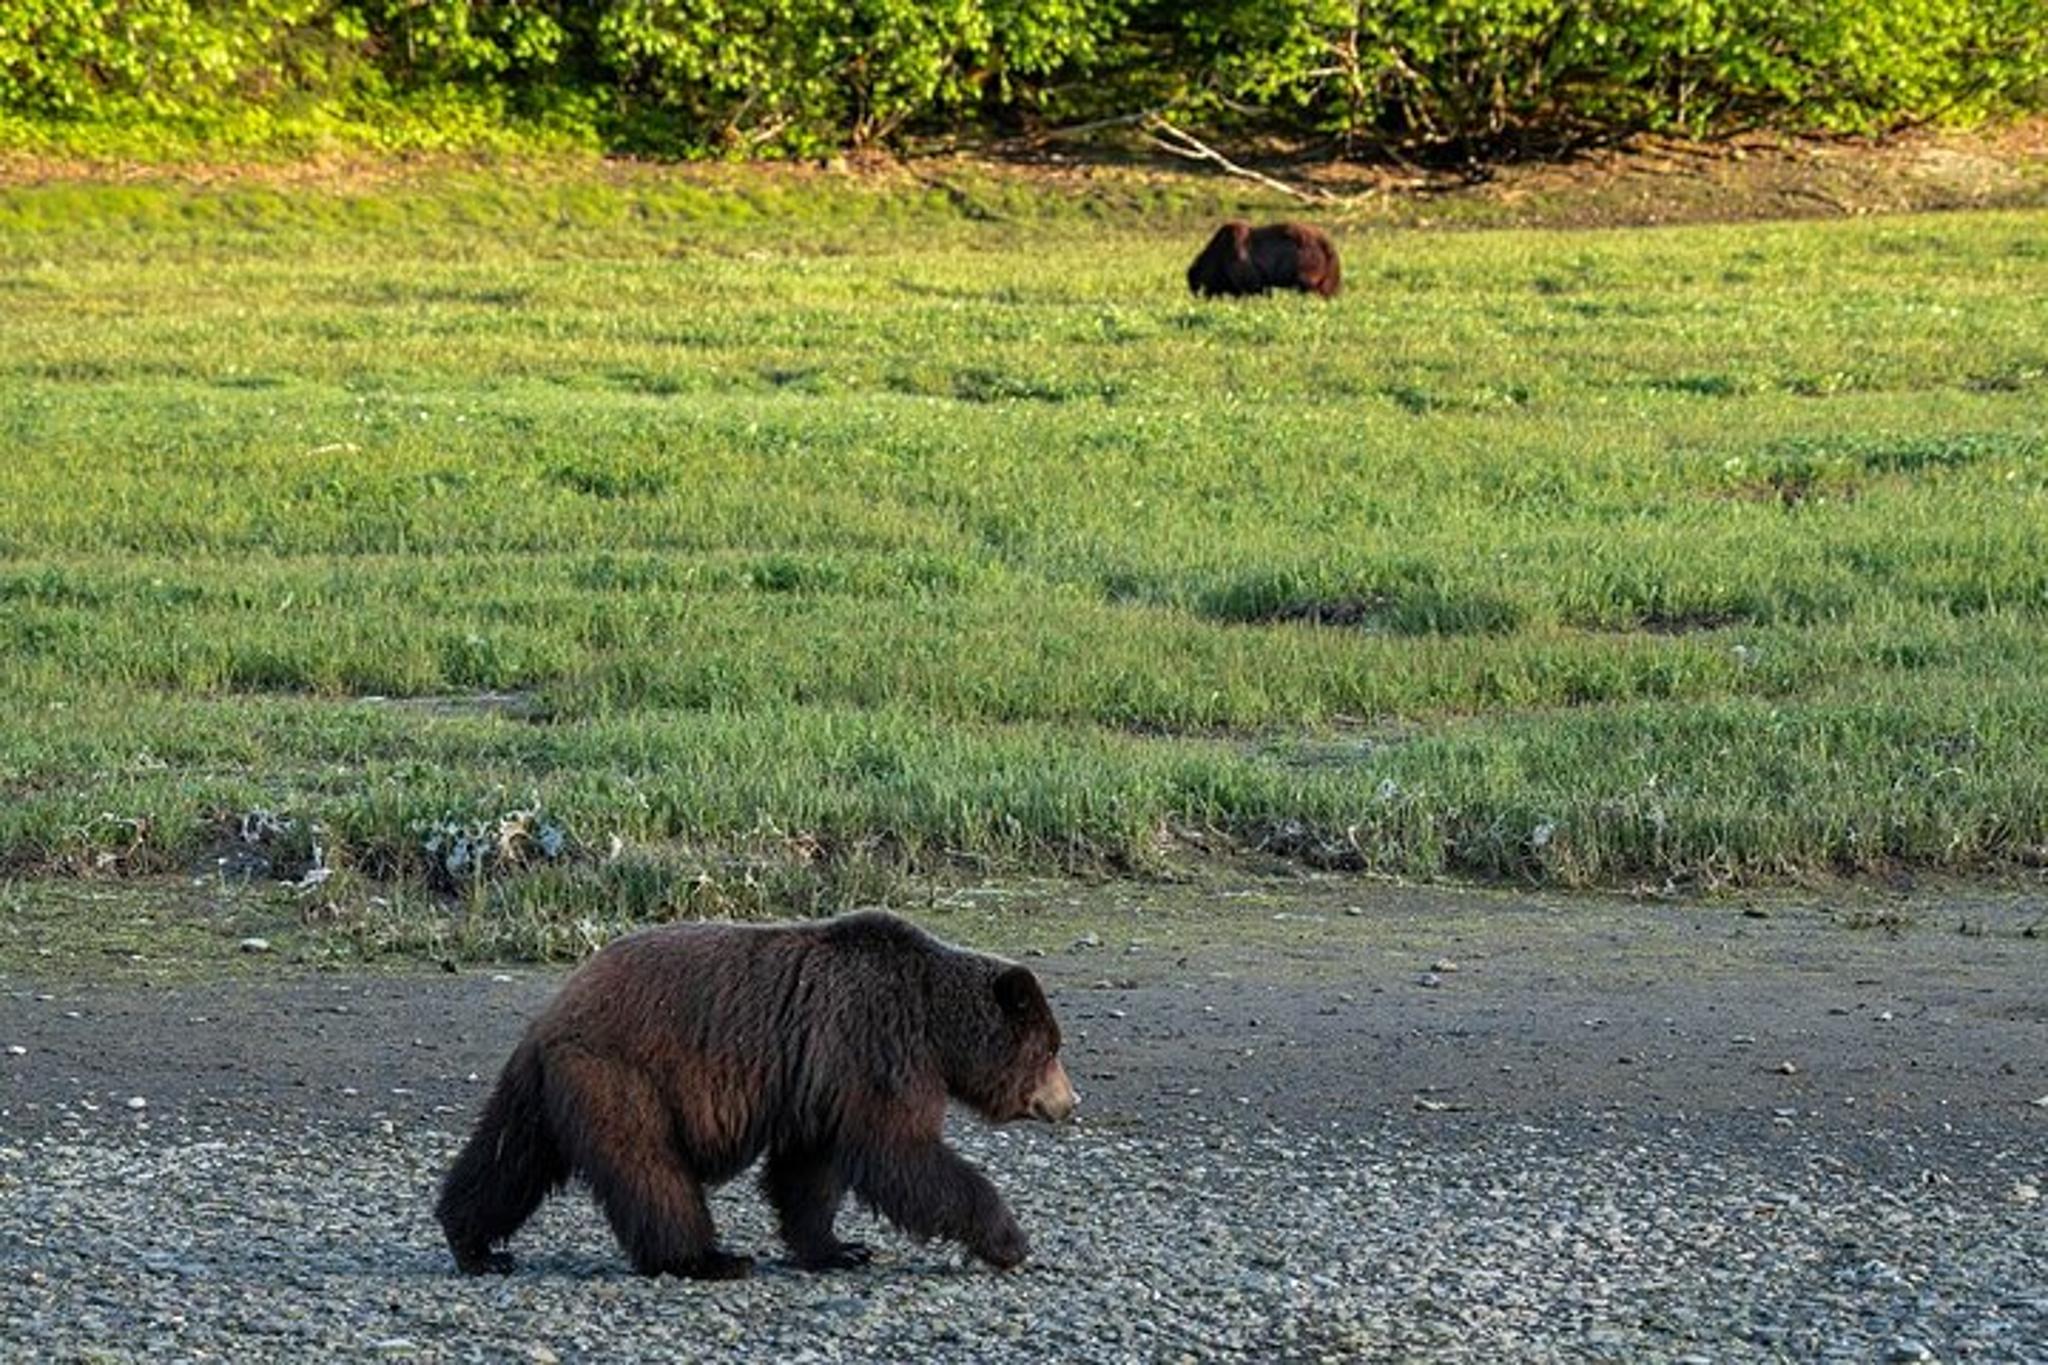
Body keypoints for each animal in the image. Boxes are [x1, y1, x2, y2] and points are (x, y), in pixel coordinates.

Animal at [434, 910, 1077, 1280]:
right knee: (650, 1170)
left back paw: (474, 1244)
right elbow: (901, 1156)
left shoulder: (822, 1082)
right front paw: (1009, 1240)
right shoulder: (876, 1049)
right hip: (622, 1076)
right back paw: (707, 1258)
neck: (934, 1024)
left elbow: (809, 1172)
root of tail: (558, 1006)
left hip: (544, 1085)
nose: (1070, 1102)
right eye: (1051, 1048)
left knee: (509, 1159)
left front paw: (840, 1248)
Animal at [1186, 220, 1342, 299]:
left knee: (1310, 286)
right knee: (1327, 289)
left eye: (1196, 287)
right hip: (1327, 271)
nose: (1198, 297)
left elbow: (1254, 288)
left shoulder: (1242, 263)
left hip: (1306, 261)